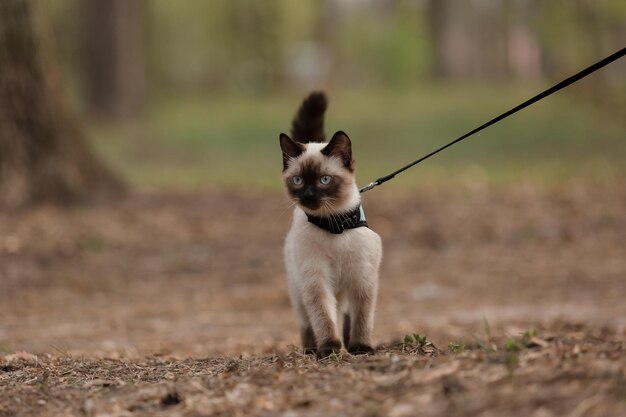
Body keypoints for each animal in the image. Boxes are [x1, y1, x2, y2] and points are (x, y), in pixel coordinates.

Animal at [278, 92, 380, 358]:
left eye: (324, 180)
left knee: (346, 315)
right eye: (298, 180)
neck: (336, 225)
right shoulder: (317, 281)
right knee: (308, 323)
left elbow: (362, 319)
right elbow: (324, 317)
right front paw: (330, 349)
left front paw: (361, 347)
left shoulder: (363, 280)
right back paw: (311, 350)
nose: (308, 196)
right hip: (299, 290)